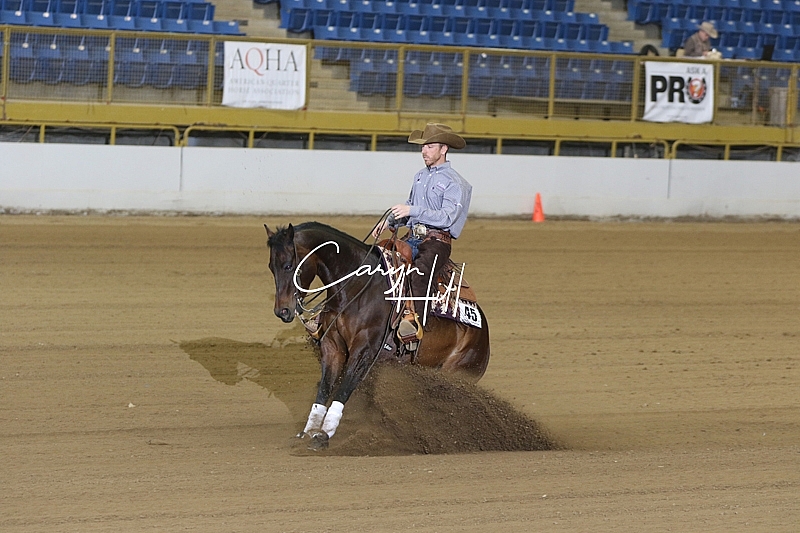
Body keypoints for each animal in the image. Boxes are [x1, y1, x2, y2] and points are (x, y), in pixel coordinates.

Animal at [264, 221, 490, 450]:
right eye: (271, 267)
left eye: (289, 266)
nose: (282, 311)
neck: (357, 287)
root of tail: (484, 335)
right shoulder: (332, 347)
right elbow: (325, 389)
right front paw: (308, 431)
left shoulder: (364, 351)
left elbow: (344, 388)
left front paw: (324, 434)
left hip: (457, 374)